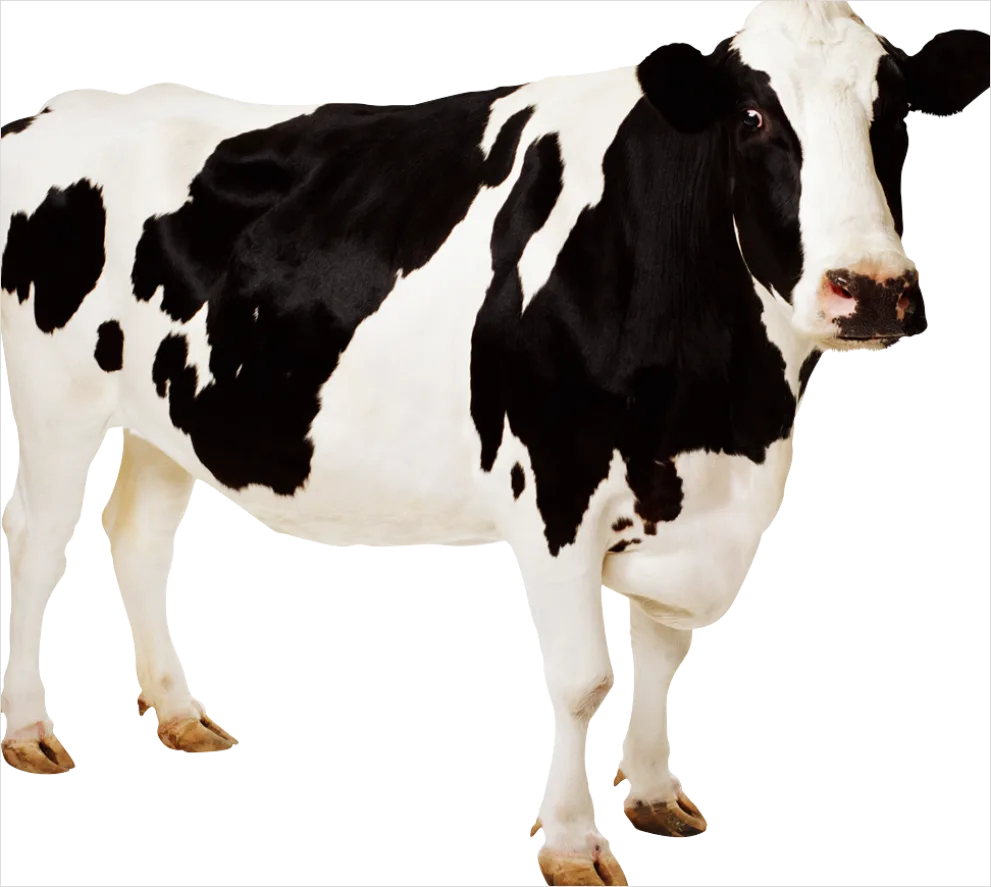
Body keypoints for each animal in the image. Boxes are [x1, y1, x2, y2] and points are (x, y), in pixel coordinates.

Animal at [0, 1, 986, 884]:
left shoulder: (696, 495)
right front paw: (573, 844)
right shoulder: (555, 487)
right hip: (55, 403)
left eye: (893, 115)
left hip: (170, 413)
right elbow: (583, 675)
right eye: (751, 117)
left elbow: (662, 649)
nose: (873, 288)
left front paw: (653, 793)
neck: (727, 405)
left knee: (136, 535)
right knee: (35, 548)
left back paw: (178, 713)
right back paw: (28, 732)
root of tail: (45, 114)